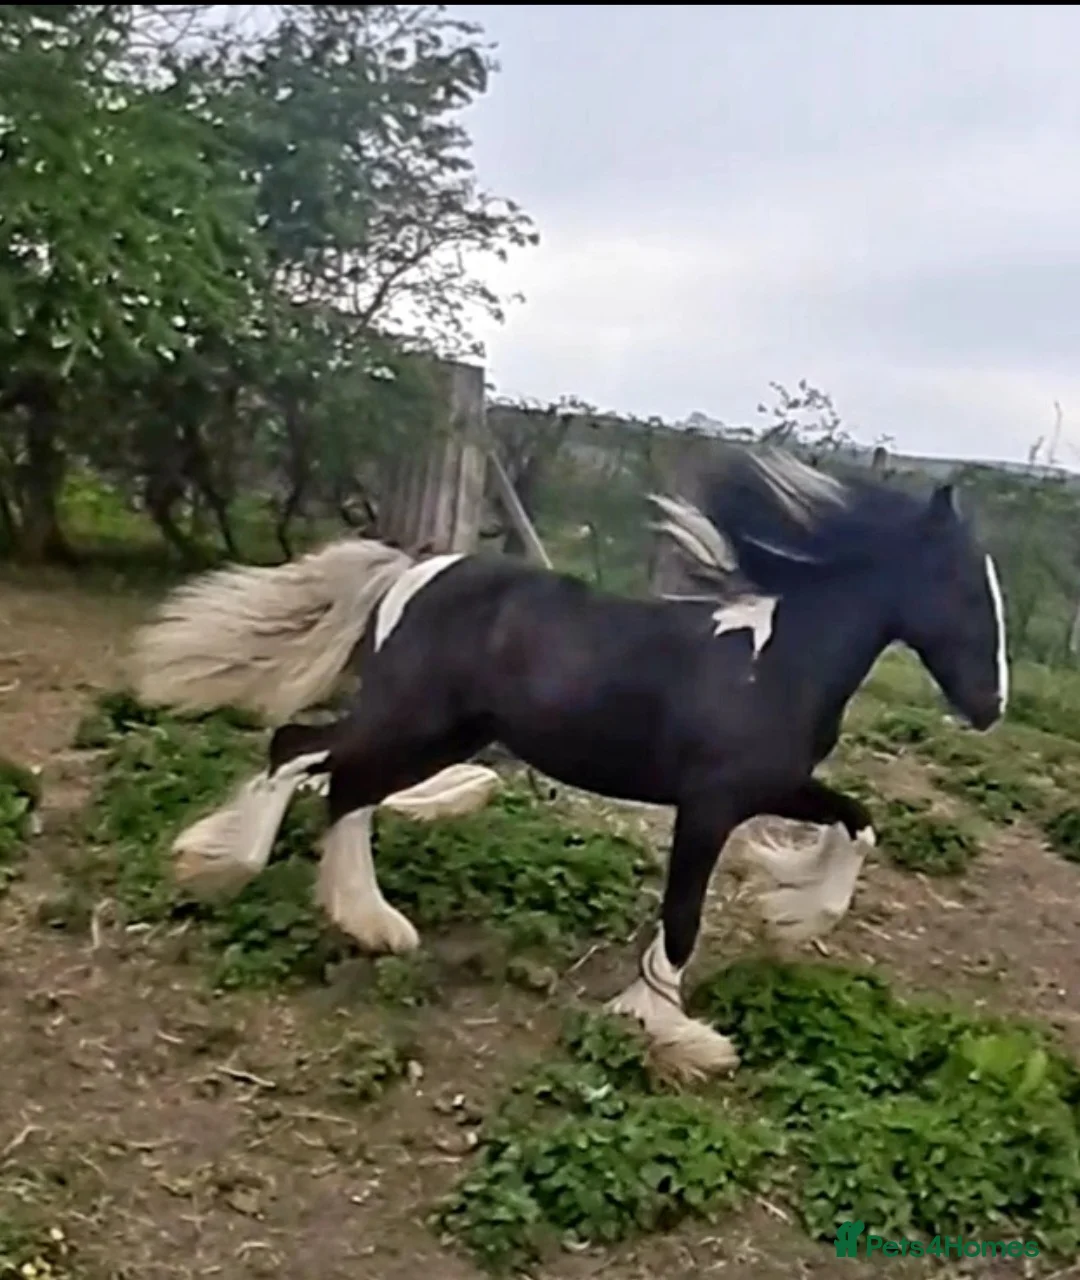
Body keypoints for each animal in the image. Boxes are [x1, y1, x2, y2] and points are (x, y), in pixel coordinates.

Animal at [129, 445, 1009, 1079]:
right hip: (408, 723)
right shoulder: (710, 804)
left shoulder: (772, 788)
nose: (990, 705)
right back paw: (220, 866)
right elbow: (683, 917)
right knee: (299, 752)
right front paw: (673, 1033)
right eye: (966, 590)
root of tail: (412, 569)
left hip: (438, 737)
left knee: (343, 786)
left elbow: (859, 823)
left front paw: (792, 912)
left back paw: (370, 924)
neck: (777, 662)